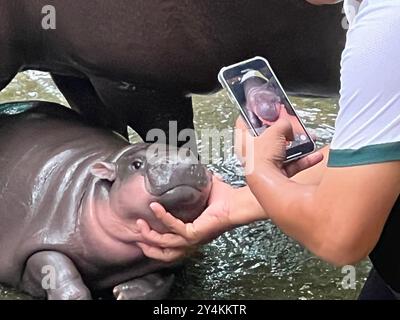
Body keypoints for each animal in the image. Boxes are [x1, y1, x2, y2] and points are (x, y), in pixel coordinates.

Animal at [0, 100, 212, 300]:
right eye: (136, 164)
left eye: (192, 154)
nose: (181, 163)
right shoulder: (45, 237)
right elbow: (59, 272)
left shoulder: (170, 258)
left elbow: (160, 279)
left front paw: (125, 292)